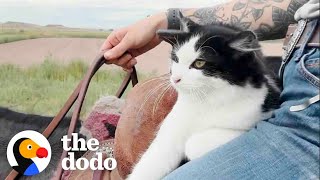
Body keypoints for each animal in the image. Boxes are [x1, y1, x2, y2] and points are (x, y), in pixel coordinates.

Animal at [127, 18, 280, 180]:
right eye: (176, 58)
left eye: (199, 63)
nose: (175, 79)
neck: (206, 100)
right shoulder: (172, 129)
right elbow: (152, 162)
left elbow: (193, 144)